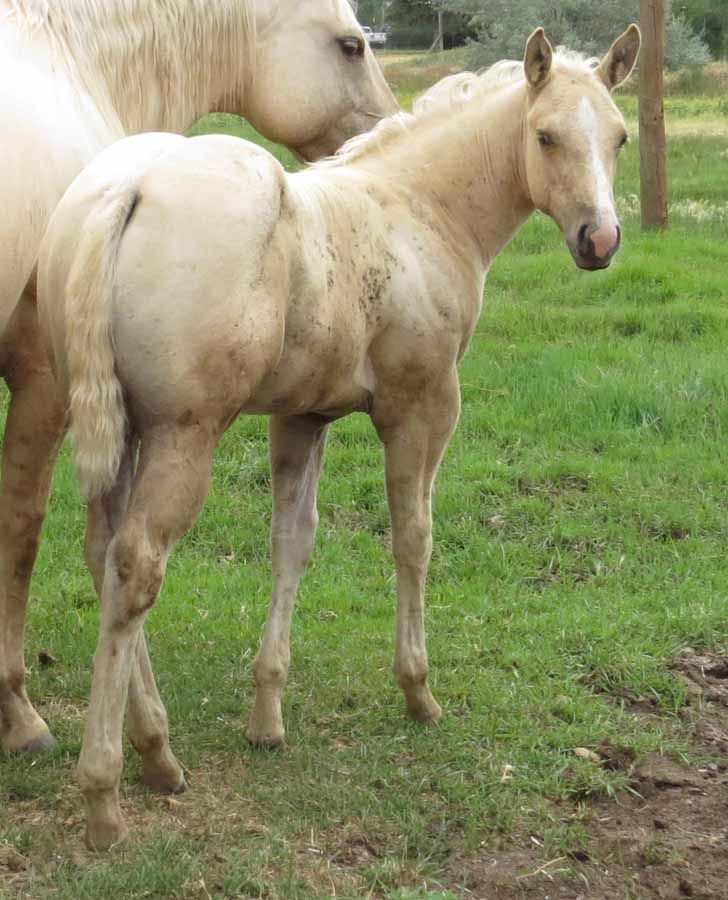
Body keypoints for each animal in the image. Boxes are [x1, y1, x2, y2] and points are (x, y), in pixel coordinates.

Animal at [0, 0, 397, 758]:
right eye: (350, 45)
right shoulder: (44, 381)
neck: (79, 64)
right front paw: (19, 713)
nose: (388, 131)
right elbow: (21, 528)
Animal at [38, 25, 641, 848]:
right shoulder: (423, 407)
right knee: (136, 569)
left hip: (122, 429)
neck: (419, 209)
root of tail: (122, 190)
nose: (600, 239)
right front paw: (418, 690)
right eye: (545, 136)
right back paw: (109, 790)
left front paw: (266, 715)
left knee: (103, 558)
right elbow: (414, 536)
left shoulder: (302, 416)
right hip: (183, 434)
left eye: (619, 136)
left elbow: (293, 542)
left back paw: (156, 749)